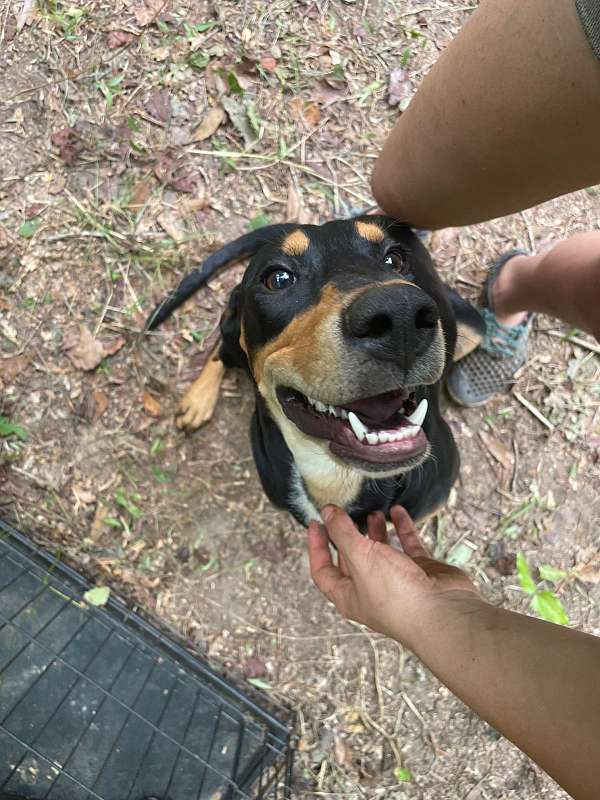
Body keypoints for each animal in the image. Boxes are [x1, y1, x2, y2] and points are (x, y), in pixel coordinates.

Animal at [148, 219, 486, 528]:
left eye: (395, 260)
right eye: (278, 279)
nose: (400, 314)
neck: (334, 473)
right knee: (221, 345)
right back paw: (197, 401)